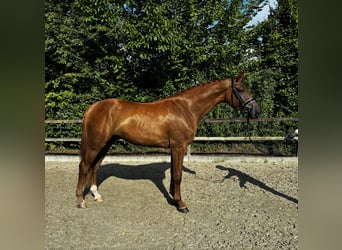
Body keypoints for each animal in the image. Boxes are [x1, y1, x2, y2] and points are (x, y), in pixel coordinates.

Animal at [76, 73, 260, 213]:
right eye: (241, 90)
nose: (256, 111)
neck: (187, 108)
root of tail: (92, 107)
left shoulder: (174, 148)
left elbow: (173, 172)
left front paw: (173, 198)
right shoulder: (179, 146)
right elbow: (178, 175)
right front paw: (181, 204)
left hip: (106, 143)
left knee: (95, 166)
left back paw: (96, 195)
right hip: (96, 143)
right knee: (84, 166)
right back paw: (80, 201)